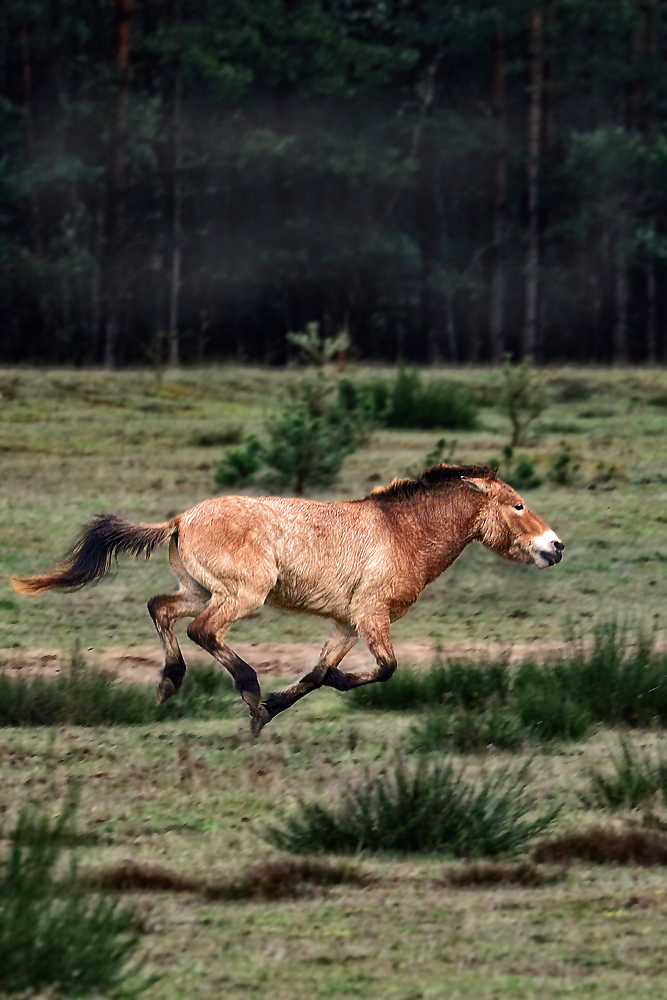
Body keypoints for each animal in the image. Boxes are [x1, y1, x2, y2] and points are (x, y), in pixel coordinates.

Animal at [10, 464, 564, 732]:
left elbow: (318, 674)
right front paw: (269, 703)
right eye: (518, 505)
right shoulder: (372, 615)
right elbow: (385, 668)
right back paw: (247, 687)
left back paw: (171, 684)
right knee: (202, 630)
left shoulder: (346, 623)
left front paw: (273, 710)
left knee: (161, 609)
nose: (555, 546)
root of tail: (180, 519)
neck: (401, 533)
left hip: (200, 590)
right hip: (242, 595)